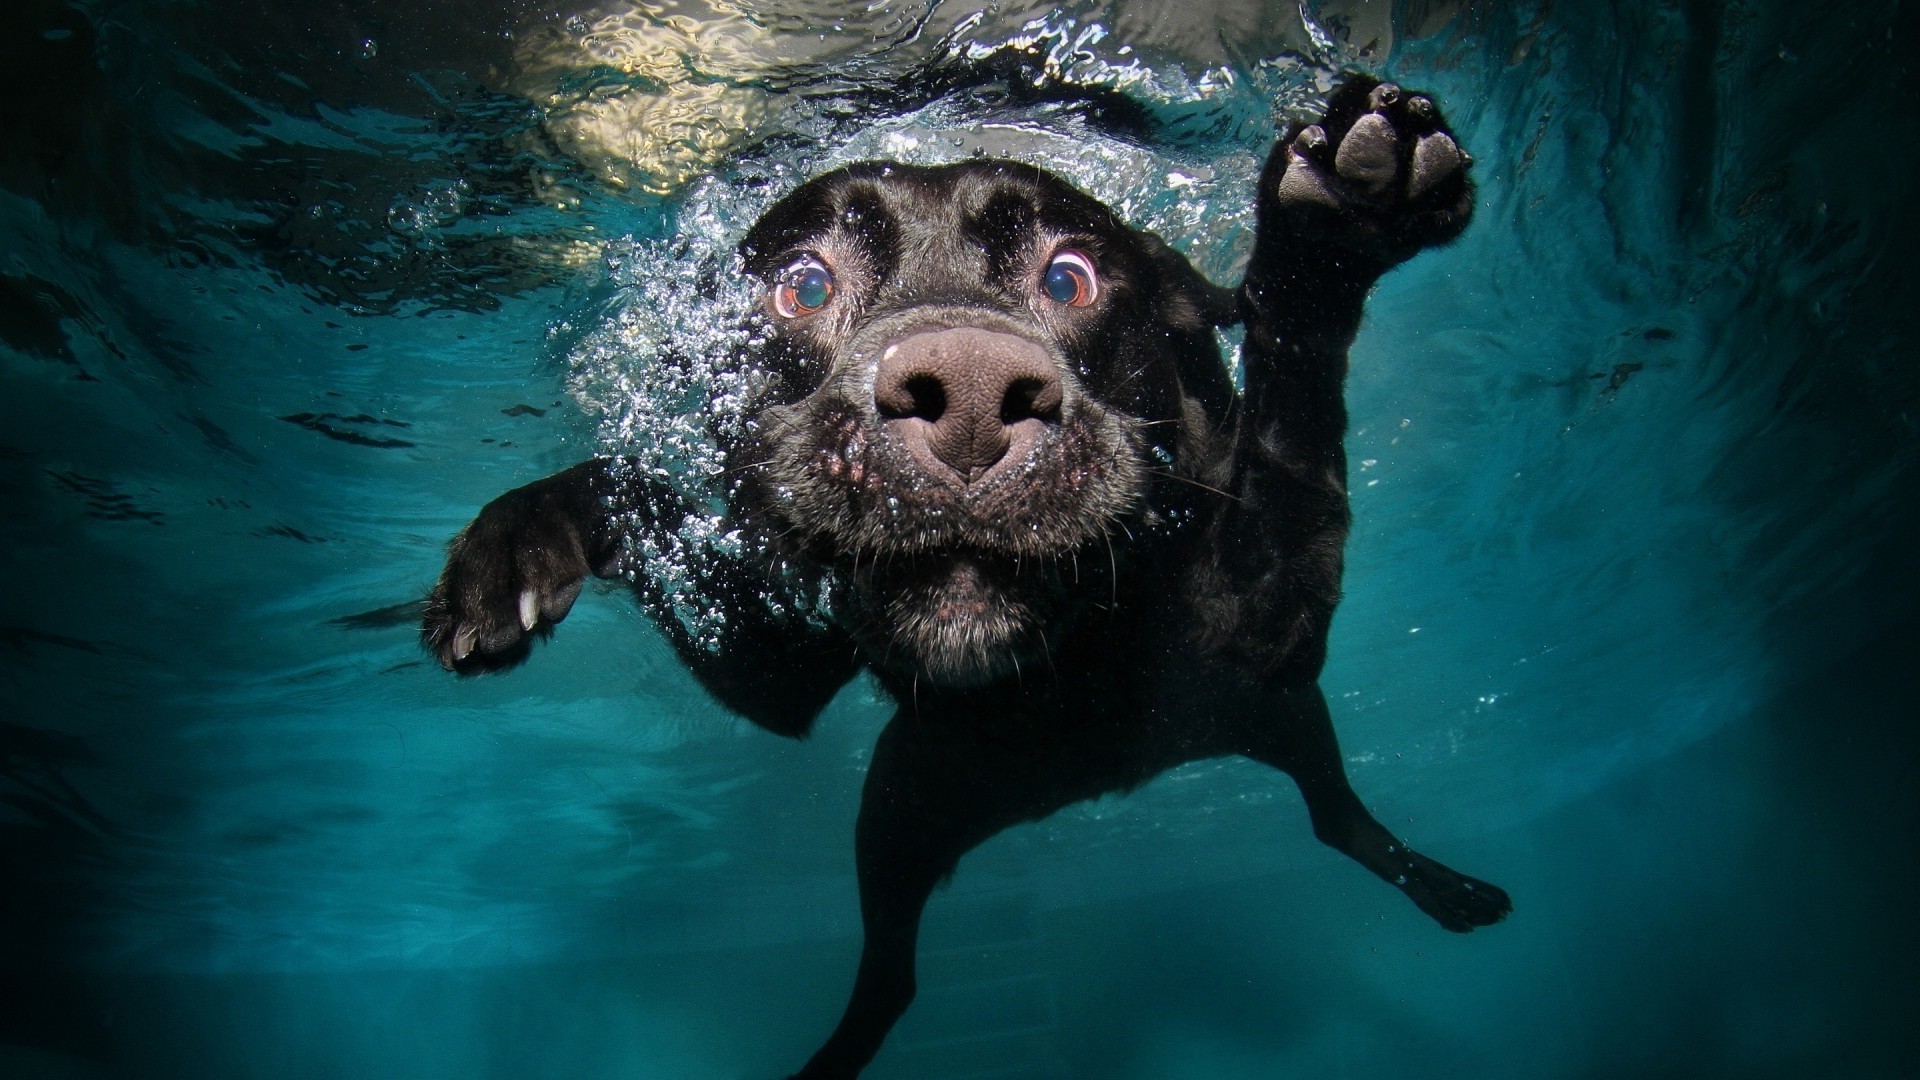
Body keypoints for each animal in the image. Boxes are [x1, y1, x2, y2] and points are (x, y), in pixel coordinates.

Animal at [424, 77, 1512, 1076]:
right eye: (803, 286)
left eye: (1070, 279)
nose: (974, 398)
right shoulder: (774, 666)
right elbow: (632, 489)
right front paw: (516, 543)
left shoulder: (1267, 613)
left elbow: (1293, 419)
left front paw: (1336, 220)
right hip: (900, 812)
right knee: (893, 979)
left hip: (1277, 716)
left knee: (1335, 818)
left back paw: (1448, 889)